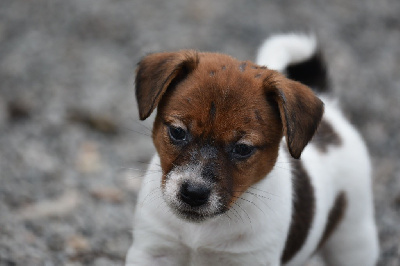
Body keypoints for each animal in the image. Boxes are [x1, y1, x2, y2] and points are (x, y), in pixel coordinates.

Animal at [126, 34, 380, 264]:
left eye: (242, 148)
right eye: (178, 132)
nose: (194, 193)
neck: (201, 230)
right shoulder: (152, 251)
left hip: (354, 239)